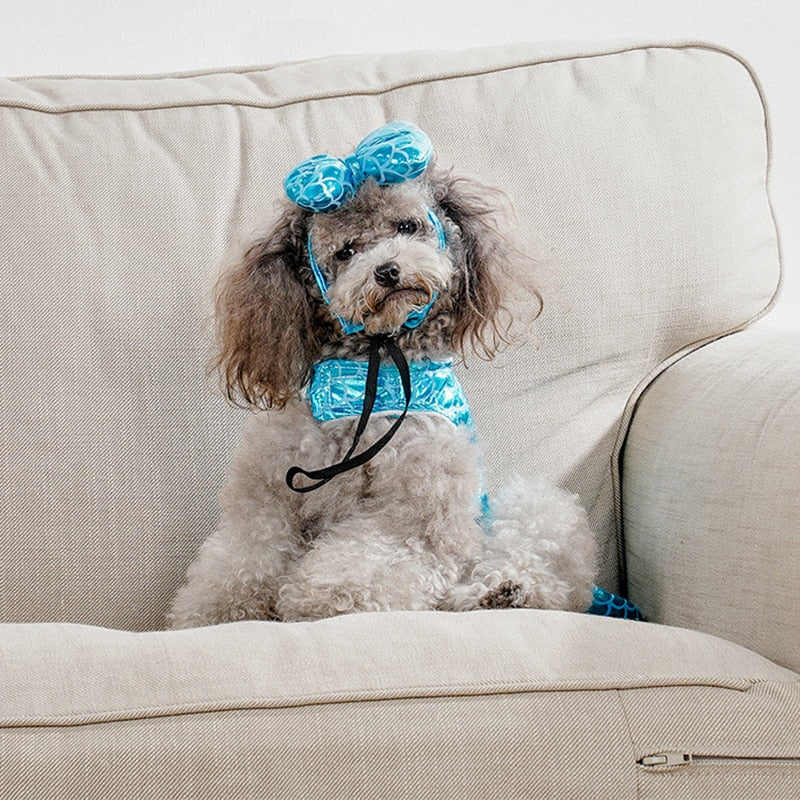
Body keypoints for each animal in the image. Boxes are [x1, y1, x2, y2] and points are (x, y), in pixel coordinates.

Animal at [166, 122, 596, 628]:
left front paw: (320, 602)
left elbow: (365, 562)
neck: (370, 367)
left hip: (530, 509)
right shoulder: (267, 496)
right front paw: (221, 612)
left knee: (545, 567)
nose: (387, 270)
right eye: (346, 251)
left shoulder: (416, 510)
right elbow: (244, 556)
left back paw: (504, 589)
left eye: (407, 226)